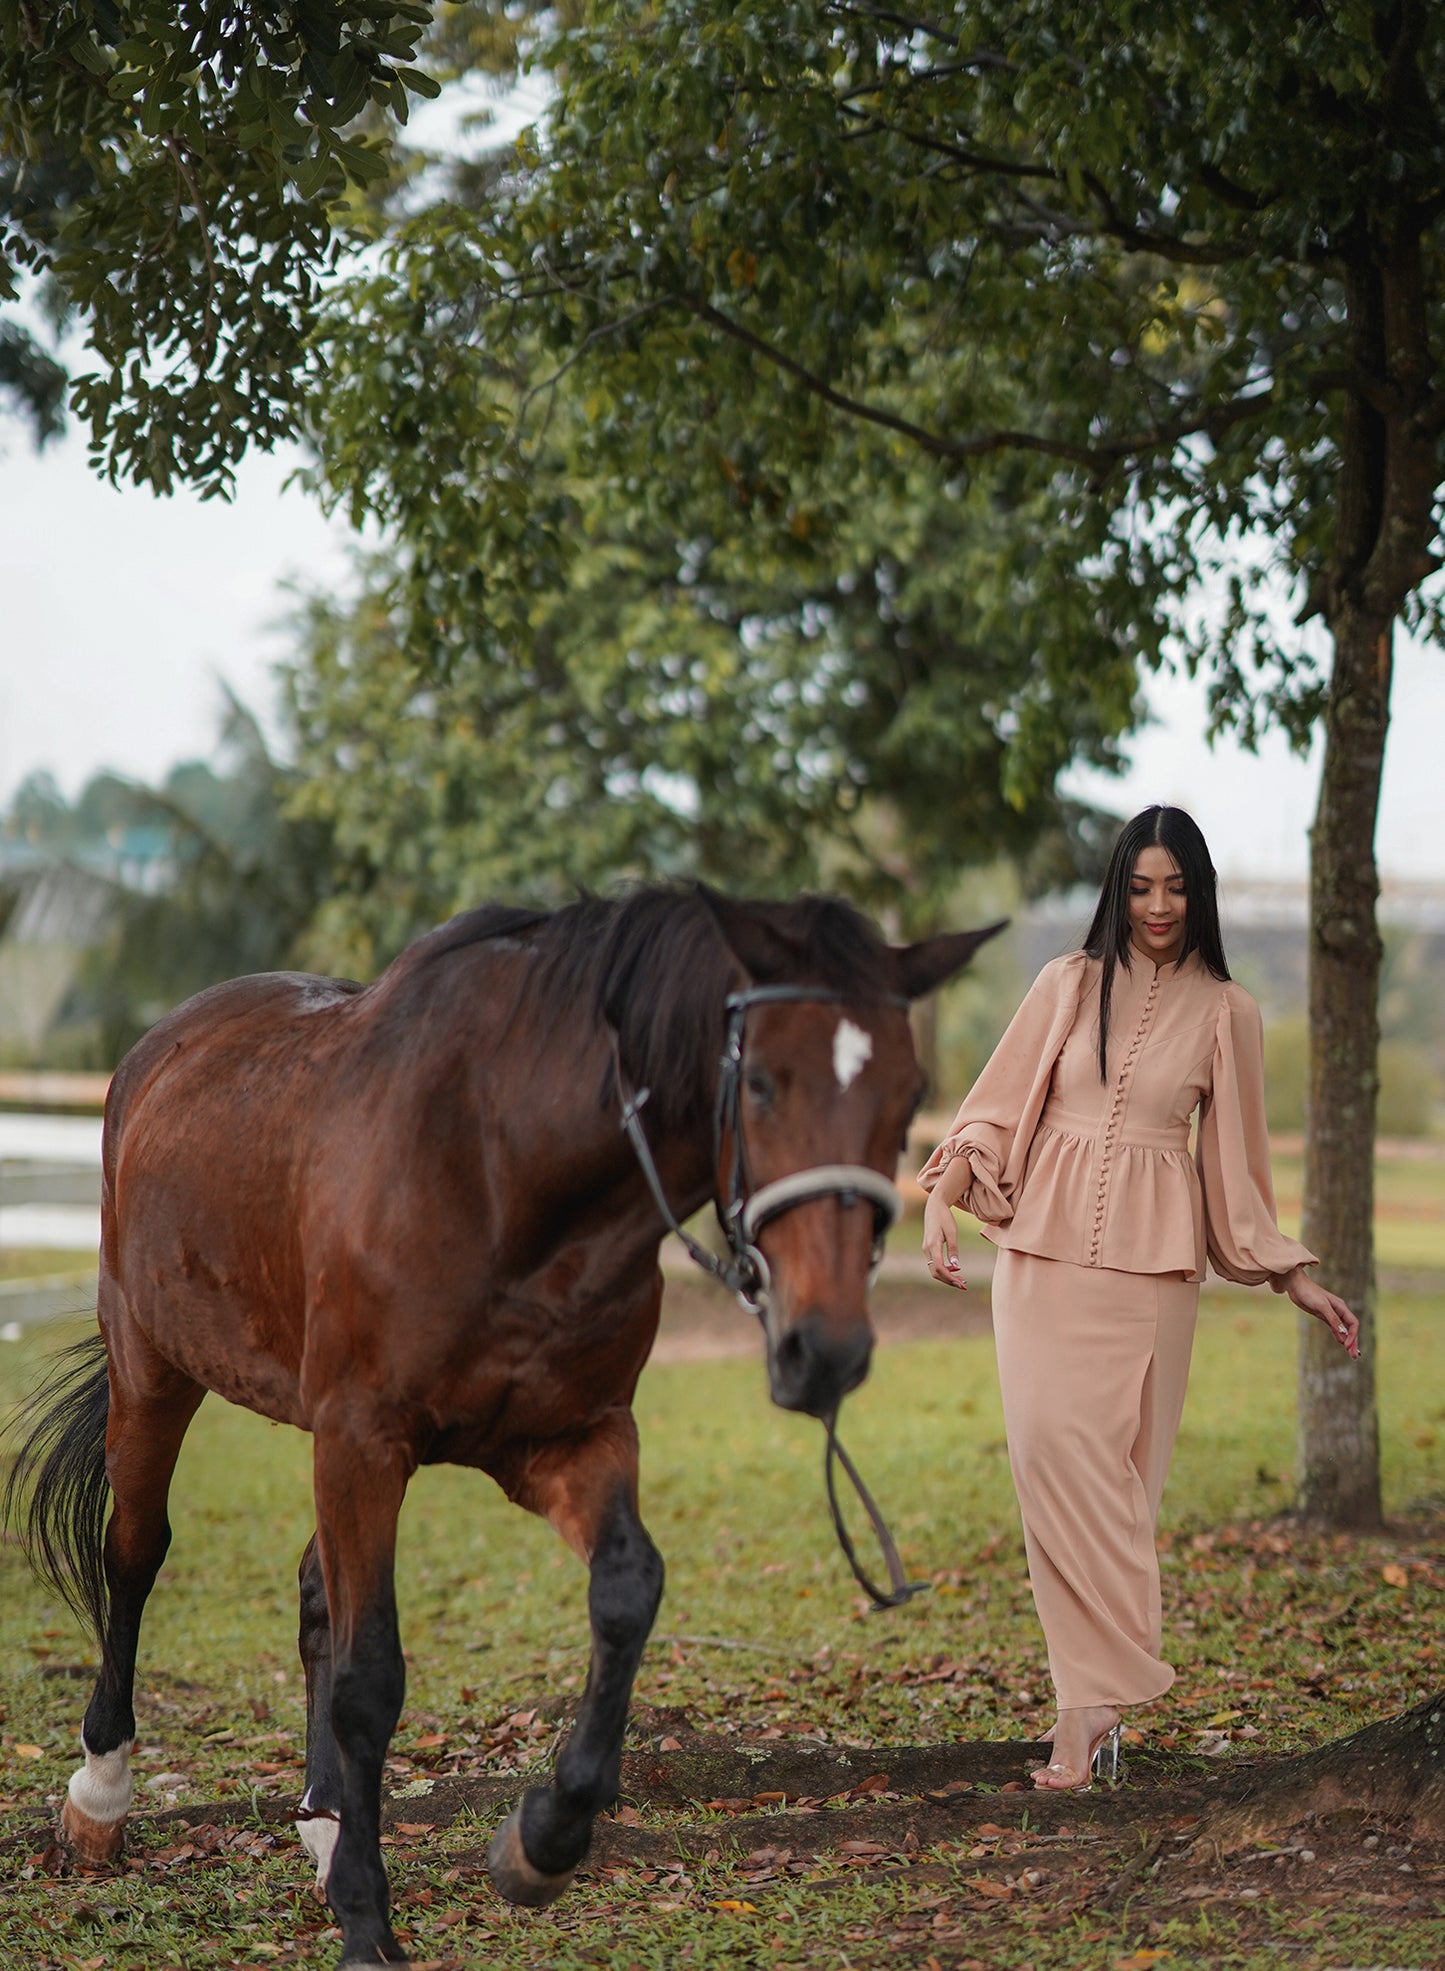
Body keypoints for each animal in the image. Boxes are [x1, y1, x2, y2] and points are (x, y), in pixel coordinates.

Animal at [8, 886, 1001, 1963]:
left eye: (907, 1097)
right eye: (764, 1082)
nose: (826, 1349)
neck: (502, 1168)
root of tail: (160, 1050)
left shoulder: (568, 1438)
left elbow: (627, 1592)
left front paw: (543, 1839)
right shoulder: (365, 1439)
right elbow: (369, 1676)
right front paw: (369, 1920)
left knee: (313, 1587)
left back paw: (326, 1819)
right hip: (156, 1368)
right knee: (136, 1550)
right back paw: (102, 1794)